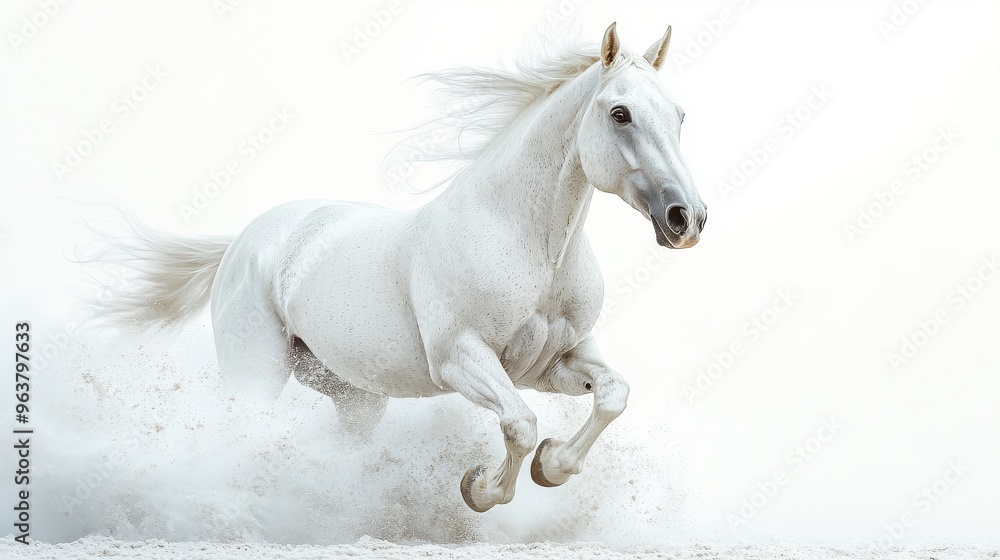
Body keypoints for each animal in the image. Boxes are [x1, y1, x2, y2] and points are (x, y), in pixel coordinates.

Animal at [96, 23, 707, 513]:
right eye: (620, 113)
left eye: (679, 115)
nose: (687, 218)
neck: (528, 244)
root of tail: (245, 240)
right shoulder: (461, 359)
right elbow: (520, 424)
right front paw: (479, 490)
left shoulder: (553, 362)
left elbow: (613, 394)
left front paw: (552, 468)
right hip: (254, 376)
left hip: (356, 398)